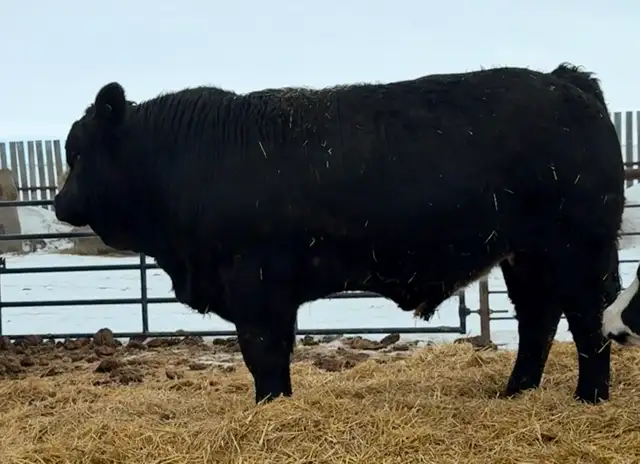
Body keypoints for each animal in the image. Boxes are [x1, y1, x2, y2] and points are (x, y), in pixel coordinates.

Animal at [54, 63, 625, 405]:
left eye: (77, 151)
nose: (59, 204)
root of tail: (563, 79)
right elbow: (275, 353)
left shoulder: (253, 285)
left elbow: (262, 353)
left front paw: (268, 406)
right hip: (525, 255)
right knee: (538, 321)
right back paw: (516, 393)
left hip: (577, 249)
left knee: (588, 320)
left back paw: (590, 398)